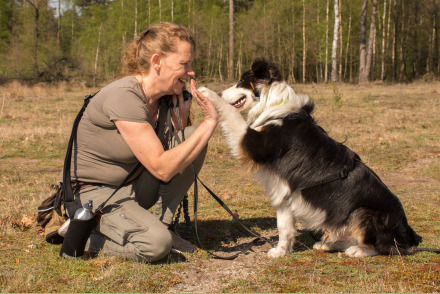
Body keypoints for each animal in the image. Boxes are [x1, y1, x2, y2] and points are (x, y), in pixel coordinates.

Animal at [199, 56, 422, 258]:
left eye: (242, 81)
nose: (220, 92)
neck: (274, 105)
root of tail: (409, 235)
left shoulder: (253, 143)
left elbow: (231, 113)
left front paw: (206, 93)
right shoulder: (285, 191)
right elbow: (284, 226)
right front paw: (281, 252)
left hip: (364, 213)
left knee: (381, 246)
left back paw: (356, 250)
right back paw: (327, 244)